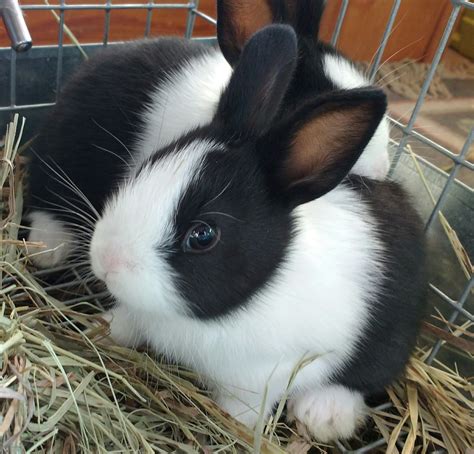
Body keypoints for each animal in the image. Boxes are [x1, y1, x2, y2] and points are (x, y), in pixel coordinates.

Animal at [82, 25, 422, 444]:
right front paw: (100, 329)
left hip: (386, 343)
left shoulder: (263, 376)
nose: (105, 260)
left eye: (203, 235)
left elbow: (241, 409)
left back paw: (323, 414)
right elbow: (127, 322)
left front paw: (231, 430)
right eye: (145, 168)